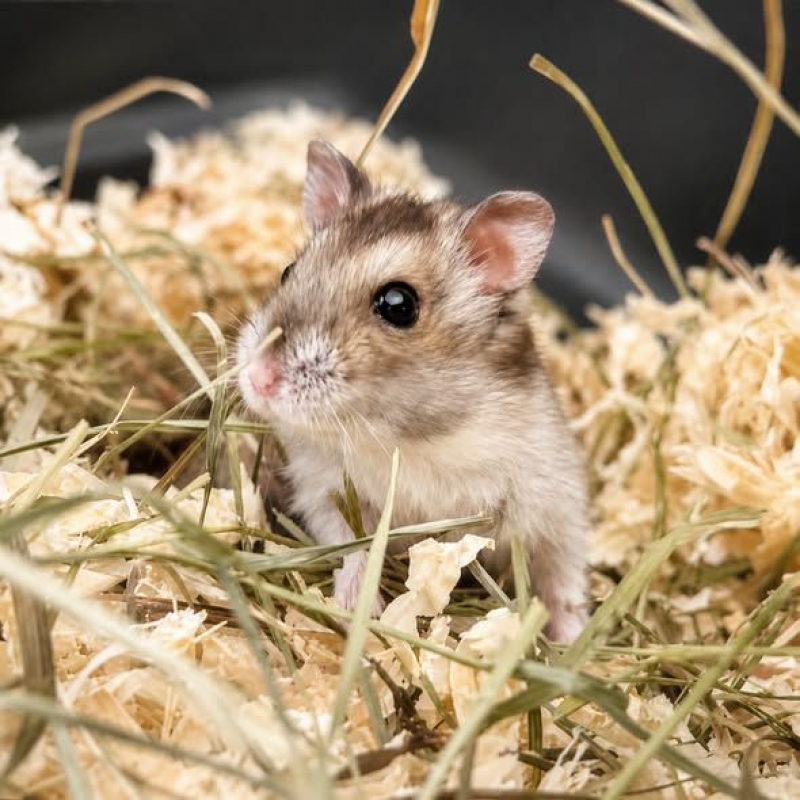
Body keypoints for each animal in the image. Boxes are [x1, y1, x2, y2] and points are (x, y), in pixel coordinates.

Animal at [237, 140, 590, 642]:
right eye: (287, 272)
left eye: (398, 304)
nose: (258, 378)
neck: (410, 437)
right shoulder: (322, 488)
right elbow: (351, 543)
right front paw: (359, 605)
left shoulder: (556, 504)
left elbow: (562, 577)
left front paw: (575, 639)